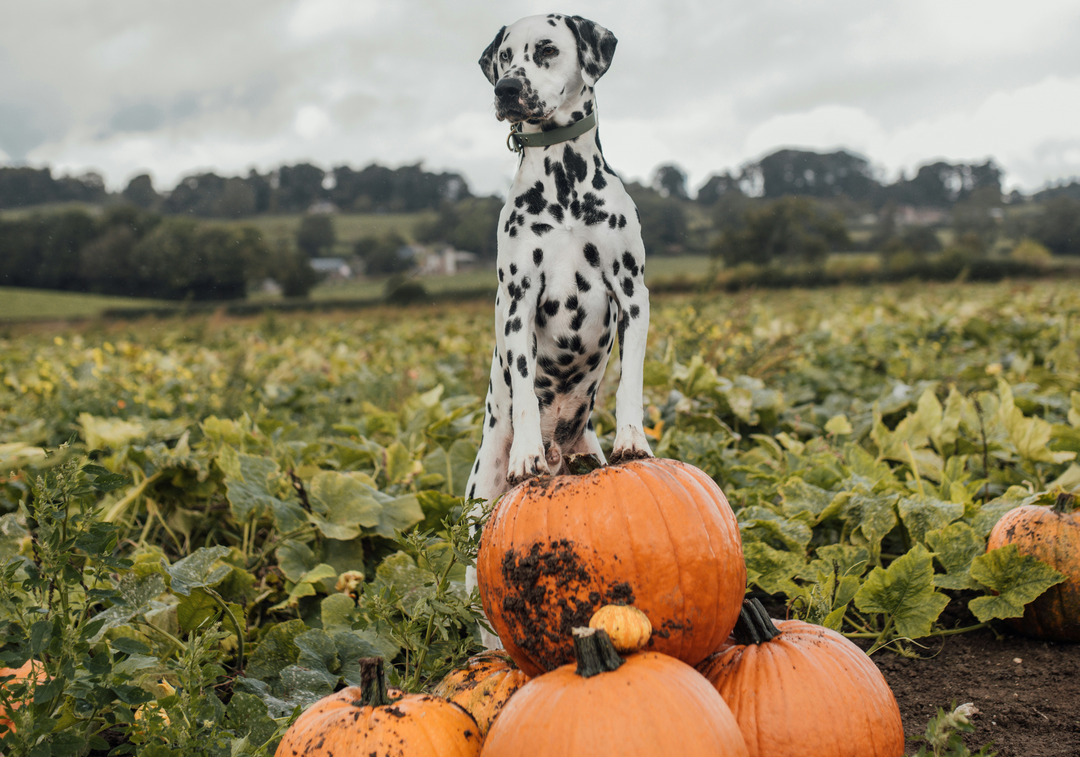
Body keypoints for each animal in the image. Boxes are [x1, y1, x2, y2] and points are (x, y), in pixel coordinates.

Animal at [462, 14, 648, 514]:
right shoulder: (518, 303)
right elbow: (525, 389)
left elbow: (631, 380)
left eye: (546, 49)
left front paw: (633, 440)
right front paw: (526, 455)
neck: (563, 184)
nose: (506, 88)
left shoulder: (632, 293)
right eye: (505, 56)